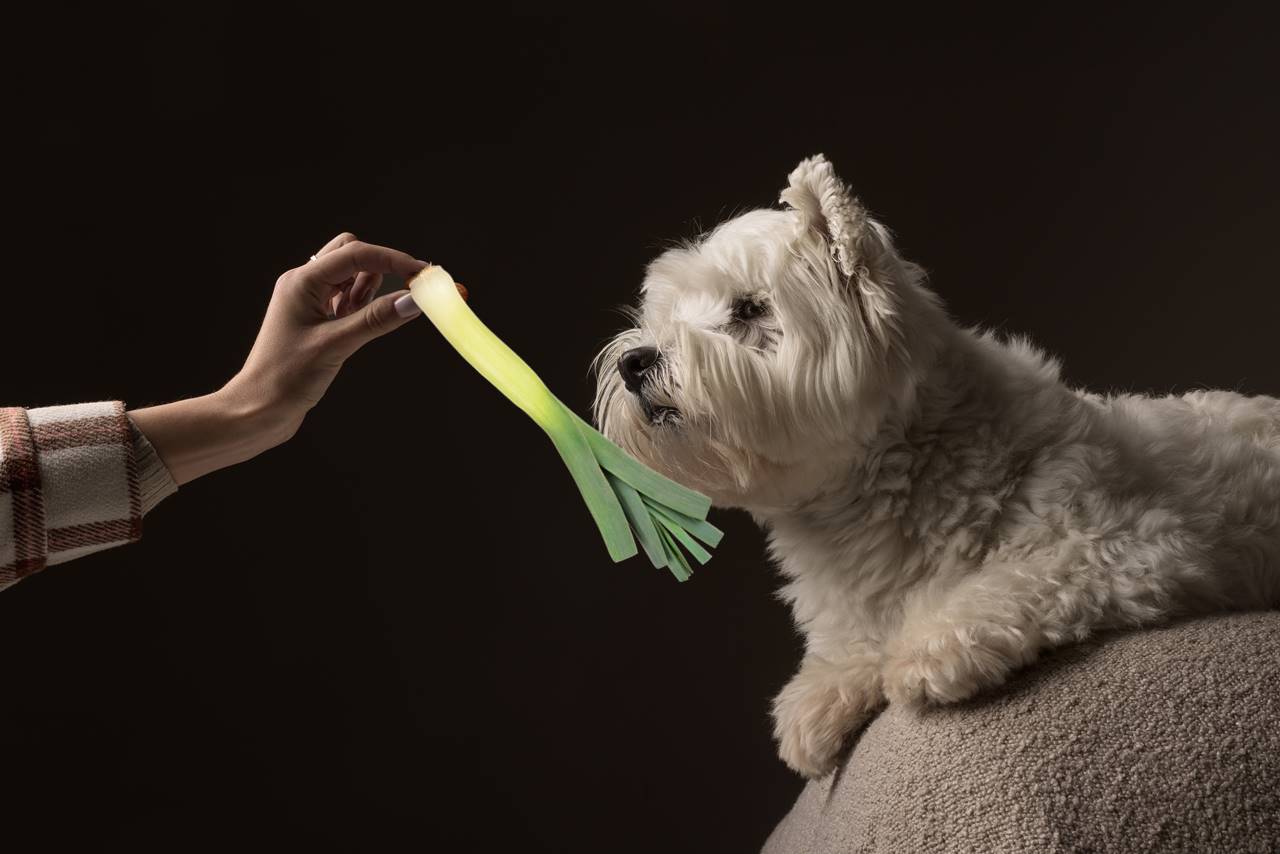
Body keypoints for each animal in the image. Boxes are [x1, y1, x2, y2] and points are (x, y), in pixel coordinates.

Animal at [593, 155, 1280, 783]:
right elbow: (852, 639)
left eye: (748, 309)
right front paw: (821, 691)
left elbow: (1019, 579)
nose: (634, 362)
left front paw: (933, 643)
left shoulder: (1129, 543)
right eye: (665, 314)